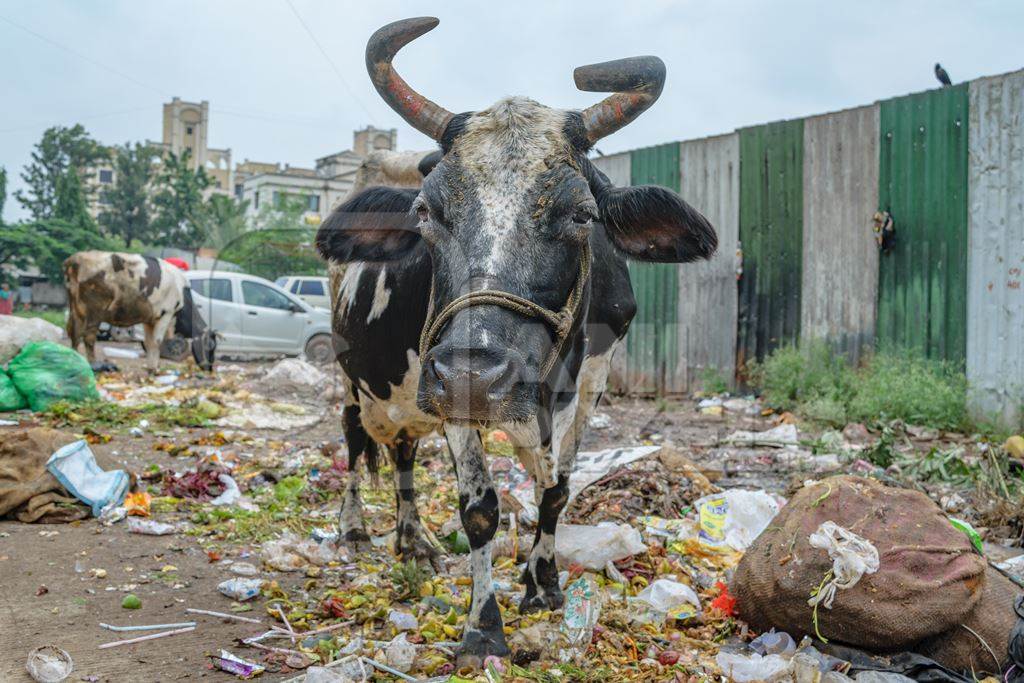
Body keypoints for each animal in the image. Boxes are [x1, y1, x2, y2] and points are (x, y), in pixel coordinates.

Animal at [63, 250, 214, 370]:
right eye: (211, 346)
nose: (210, 367)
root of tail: (76, 258)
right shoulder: (166, 313)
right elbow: (157, 341)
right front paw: (154, 369)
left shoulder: (150, 319)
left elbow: (149, 342)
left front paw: (151, 367)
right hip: (95, 311)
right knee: (88, 337)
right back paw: (94, 365)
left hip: (76, 310)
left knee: (74, 334)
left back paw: (74, 361)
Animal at [315, 17, 716, 667]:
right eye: (426, 211)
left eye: (583, 214)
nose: (476, 374)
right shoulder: (448, 386)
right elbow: (480, 510)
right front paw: (483, 628)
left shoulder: (593, 383)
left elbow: (556, 492)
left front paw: (543, 583)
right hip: (358, 374)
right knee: (355, 438)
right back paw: (355, 529)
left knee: (403, 449)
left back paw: (413, 539)